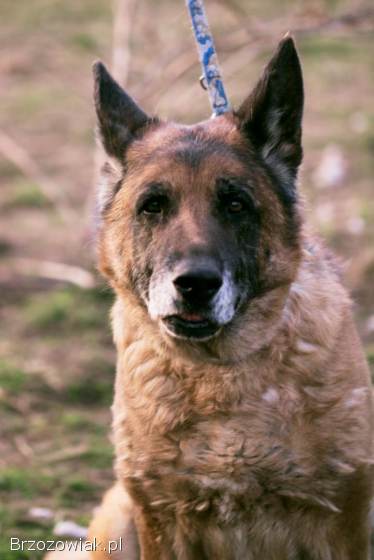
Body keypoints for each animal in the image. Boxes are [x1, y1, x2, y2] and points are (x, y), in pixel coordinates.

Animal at [47, 36, 374, 560]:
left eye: (236, 204)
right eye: (152, 206)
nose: (196, 284)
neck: (218, 374)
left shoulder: (342, 523)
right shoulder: (162, 522)